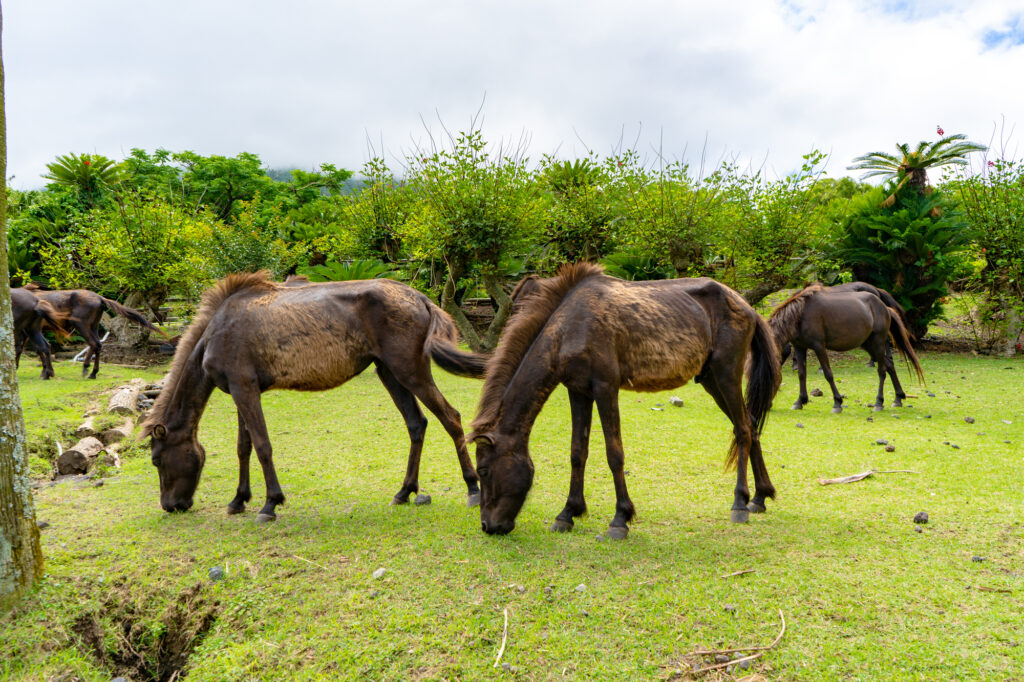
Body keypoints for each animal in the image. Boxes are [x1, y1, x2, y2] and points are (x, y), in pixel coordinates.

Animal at [21, 284, 163, 379]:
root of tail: (100, 298)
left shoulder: (31, 330)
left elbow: (39, 348)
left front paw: (45, 372)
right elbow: (36, 349)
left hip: (80, 324)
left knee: (93, 344)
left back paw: (85, 368)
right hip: (94, 326)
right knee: (98, 345)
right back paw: (93, 373)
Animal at [142, 271, 488, 522]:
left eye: (157, 459)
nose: (171, 505)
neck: (216, 331)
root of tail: (420, 298)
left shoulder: (245, 389)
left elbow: (263, 446)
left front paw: (270, 503)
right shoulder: (241, 391)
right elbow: (244, 447)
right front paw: (239, 499)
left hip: (410, 371)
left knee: (451, 417)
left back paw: (473, 488)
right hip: (390, 372)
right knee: (417, 424)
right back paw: (405, 491)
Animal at [470, 262, 781, 538]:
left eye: (483, 470)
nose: (488, 526)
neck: (570, 326)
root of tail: (746, 306)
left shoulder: (605, 388)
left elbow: (614, 454)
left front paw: (620, 519)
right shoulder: (578, 390)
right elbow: (577, 452)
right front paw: (568, 513)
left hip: (726, 374)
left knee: (743, 429)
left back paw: (740, 503)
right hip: (711, 380)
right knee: (751, 425)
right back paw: (760, 497)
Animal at [768, 284, 924, 413]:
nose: (768, 405)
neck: (801, 314)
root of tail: (885, 308)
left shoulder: (819, 346)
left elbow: (828, 374)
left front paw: (837, 403)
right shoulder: (800, 347)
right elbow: (801, 374)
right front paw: (800, 401)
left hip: (878, 343)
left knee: (882, 370)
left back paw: (879, 403)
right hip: (868, 345)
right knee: (890, 364)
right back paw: (898, 398)